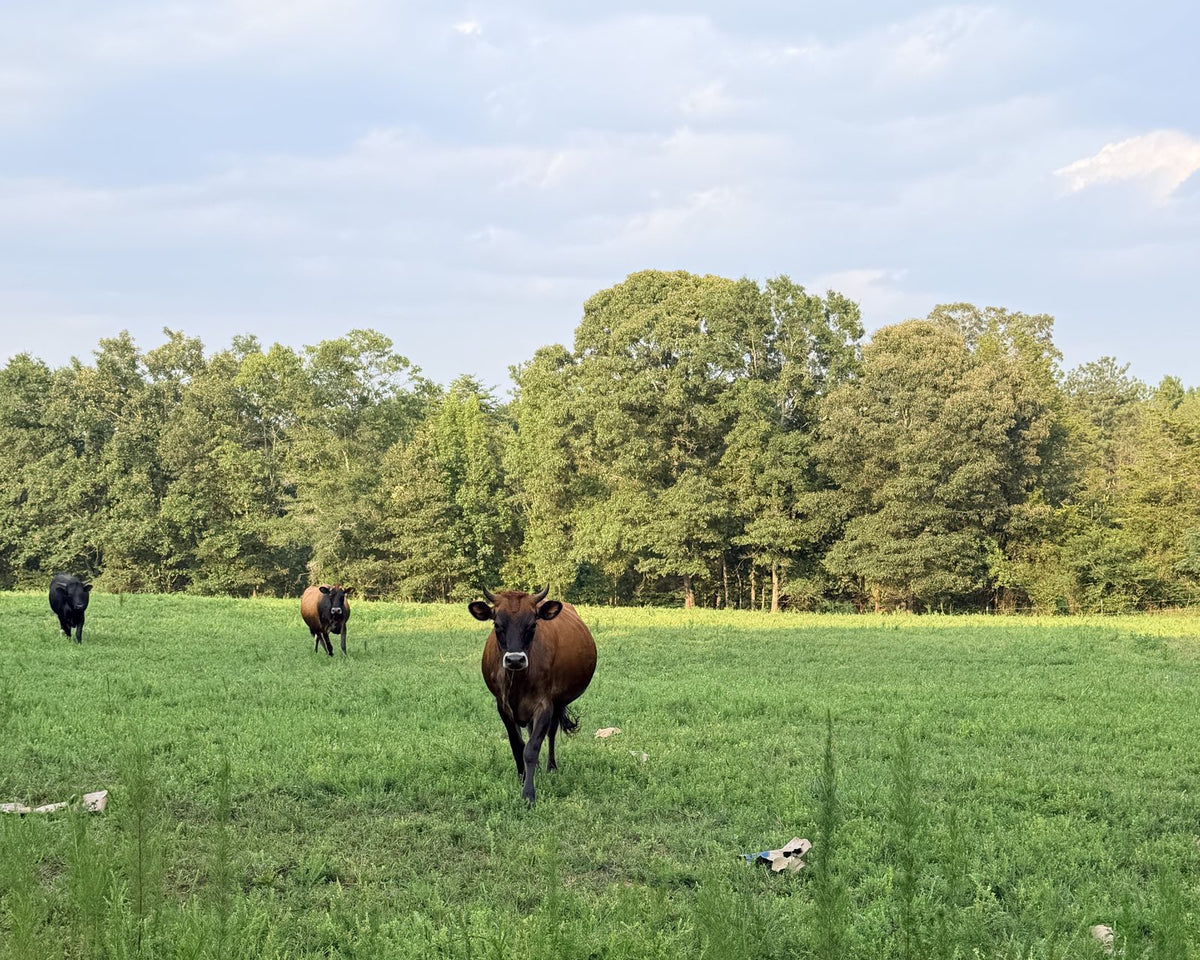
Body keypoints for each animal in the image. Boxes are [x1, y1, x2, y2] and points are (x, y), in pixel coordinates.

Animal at [469, 586, 597, 806]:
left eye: (532, 624)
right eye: (497, 624)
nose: (515, 659)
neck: (517, 681)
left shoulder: (544, 705)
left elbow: (531, 748)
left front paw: (528, 794)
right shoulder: (503, 706)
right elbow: (518, 745)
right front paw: (522, 778)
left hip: (557, 703)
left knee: (551, 733)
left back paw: (550, 767)